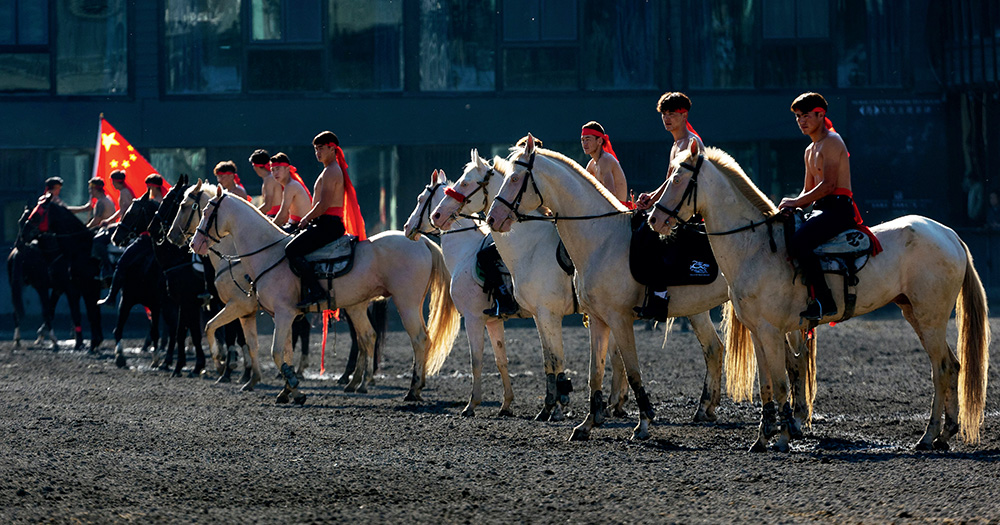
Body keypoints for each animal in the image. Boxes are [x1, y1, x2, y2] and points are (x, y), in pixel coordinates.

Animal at [21, 197, 104, 353]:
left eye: (36, 214)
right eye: (22, 219)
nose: (23, 234)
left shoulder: (77, 288)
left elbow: (81, 314)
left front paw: (82, 343)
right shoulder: (69, 288)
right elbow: (91, 313)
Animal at [166, 180, 388, 391]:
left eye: (184, 206)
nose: (173, 236)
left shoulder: (238, 305)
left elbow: (214, 329)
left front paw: (224, 367)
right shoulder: (248, 312)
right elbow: (250, 343)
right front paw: (252, 378)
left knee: (361, 338)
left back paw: (354, 378)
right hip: (354, 305)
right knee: (363, 337)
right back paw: (355, 379)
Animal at [189, 185, 460, 404]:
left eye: (206, 212)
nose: (194, 244)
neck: (268, 253)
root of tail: (420, 241)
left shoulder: (281, 313)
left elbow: (275, 352)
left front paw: (294, 389)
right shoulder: (280, 315)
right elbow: (284, 352)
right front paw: (287, 390)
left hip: (407, 303)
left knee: (419, 339)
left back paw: (412, 390)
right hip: (362, 306)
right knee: (372, 337)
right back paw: (369, 383)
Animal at [429, 152, 634, 420]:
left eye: (464, 183)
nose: (437, 215)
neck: (529, 246)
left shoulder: (543, 314)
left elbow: (554, 360)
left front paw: (558, 405)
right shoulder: (538, 316)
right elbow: (546, 361)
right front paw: (547, 406)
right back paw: (614, 404)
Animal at [647, 143, 990, 452]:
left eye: (677, 179)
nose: (654, 219)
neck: (756, 247)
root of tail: (948, 234)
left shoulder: (772, 331)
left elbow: (781, 383)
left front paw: (783, 437)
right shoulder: (759, 332)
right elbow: (767, 384)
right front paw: (763, 437)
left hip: (930, 319)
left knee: (941, 369)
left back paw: (930, 436)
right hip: (914, 314)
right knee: (951, 366)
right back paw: (944, 434)